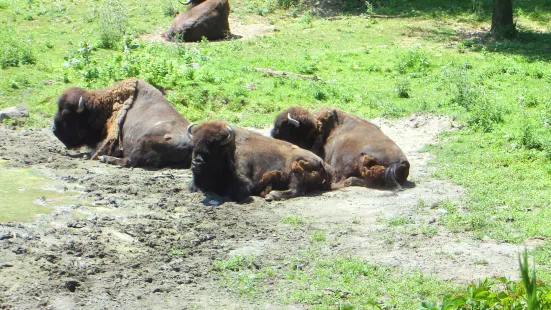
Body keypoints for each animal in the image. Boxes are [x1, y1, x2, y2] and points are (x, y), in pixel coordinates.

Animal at [187, 120, 332, 202]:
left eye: (214, 146)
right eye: (194, 145)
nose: (197, 163)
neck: (229, 148)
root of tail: (322, 162)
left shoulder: (246, 182)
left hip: (296, 167)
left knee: (296, 190)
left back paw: (272, 195)